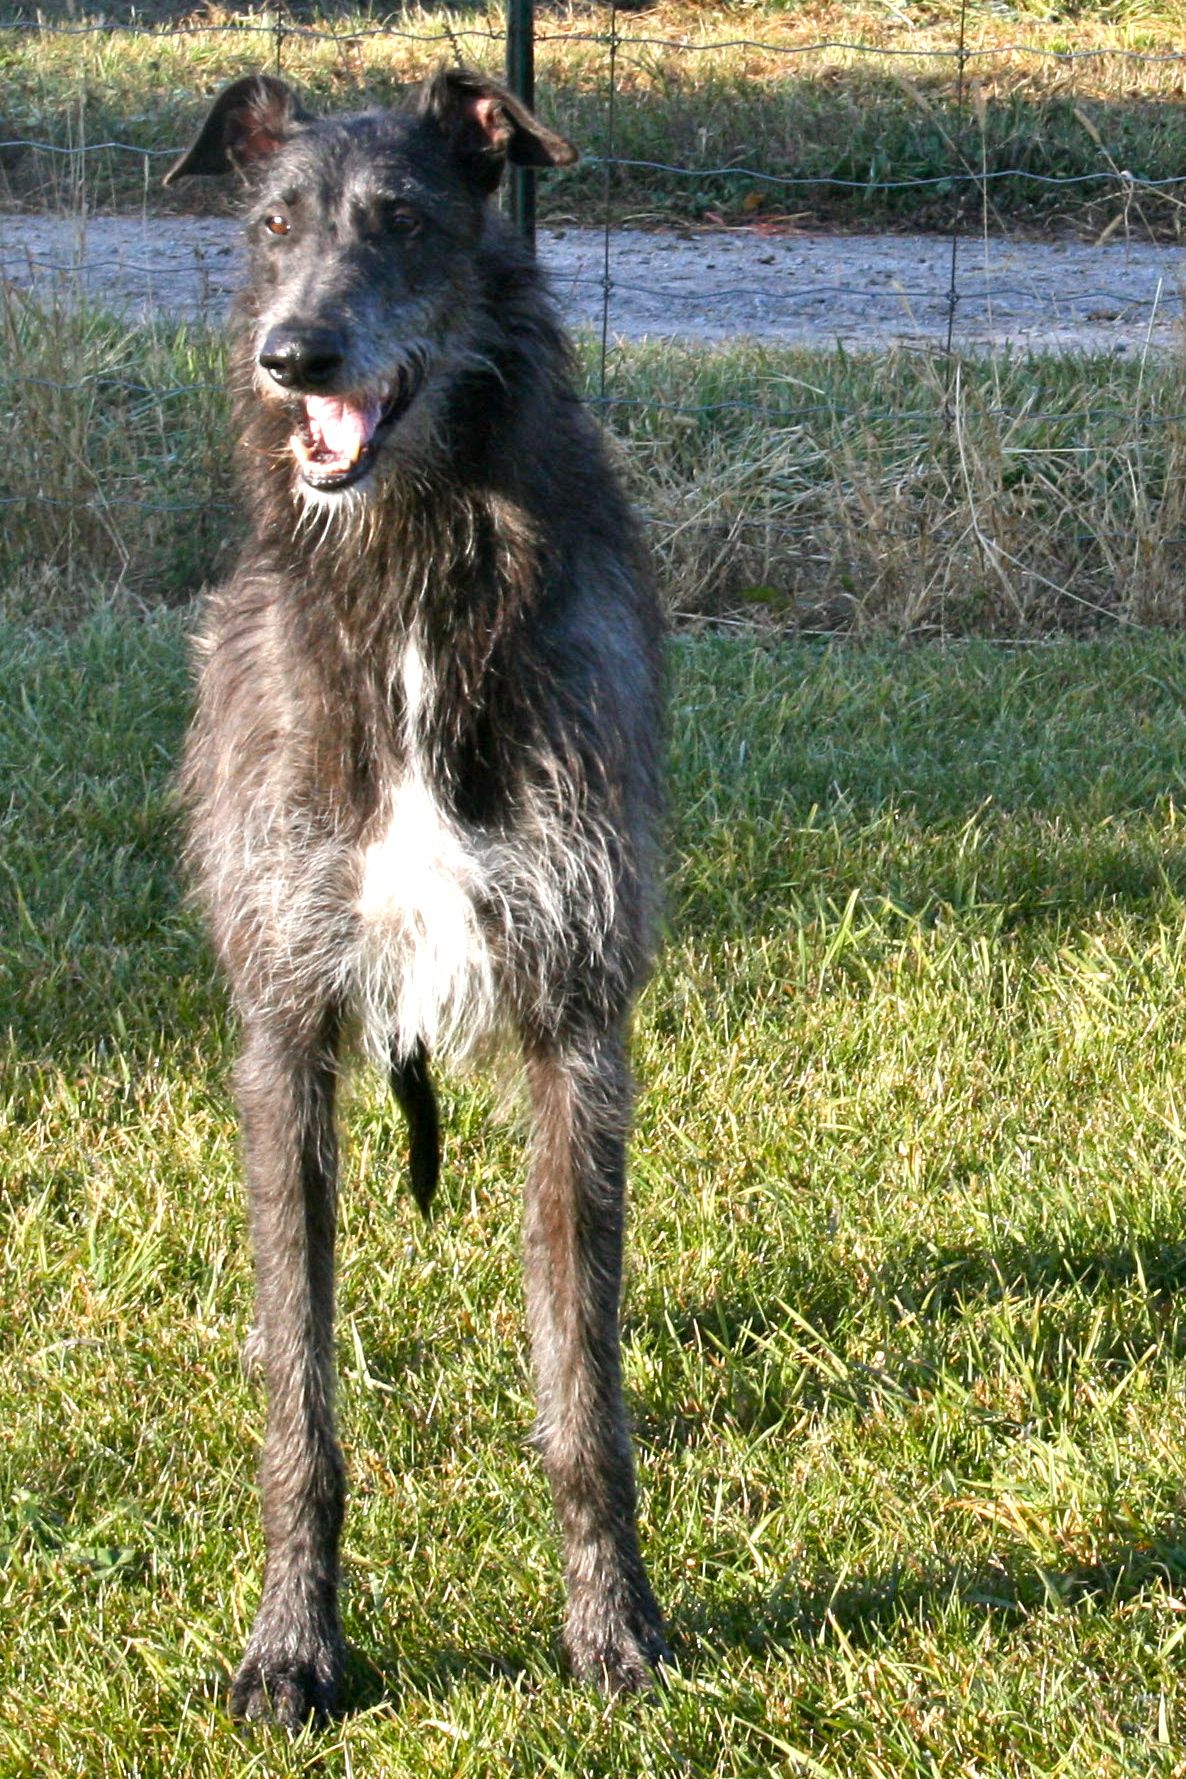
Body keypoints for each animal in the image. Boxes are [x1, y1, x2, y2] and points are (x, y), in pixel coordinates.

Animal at [166, 69, 668, 1722]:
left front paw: (613, 1625)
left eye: (399, 220)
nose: (293, 356)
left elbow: (583, 1387)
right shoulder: (284, 1031)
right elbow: (299, 1404)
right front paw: (292, 1642)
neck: (403, 589)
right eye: (271, 225)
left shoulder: (579, 1025)